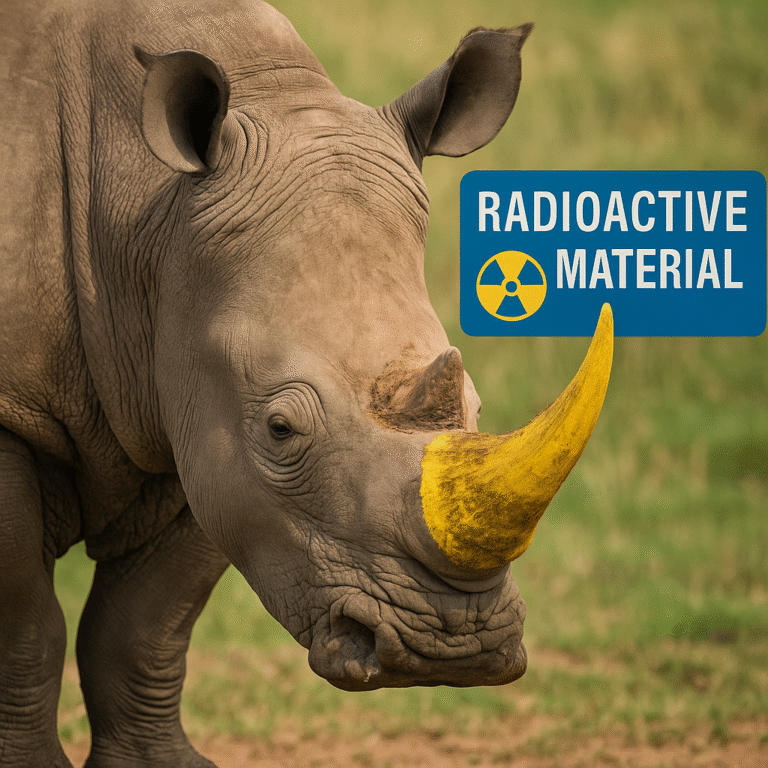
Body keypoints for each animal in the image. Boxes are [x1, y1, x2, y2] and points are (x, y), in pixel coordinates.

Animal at [0, 0, 614, 765]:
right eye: (281, 428)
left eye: (476, 408)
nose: (452, 645)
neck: (146, 215)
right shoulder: (22, 414)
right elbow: (26, 623)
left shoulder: (200, 416)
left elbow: (147, 622)